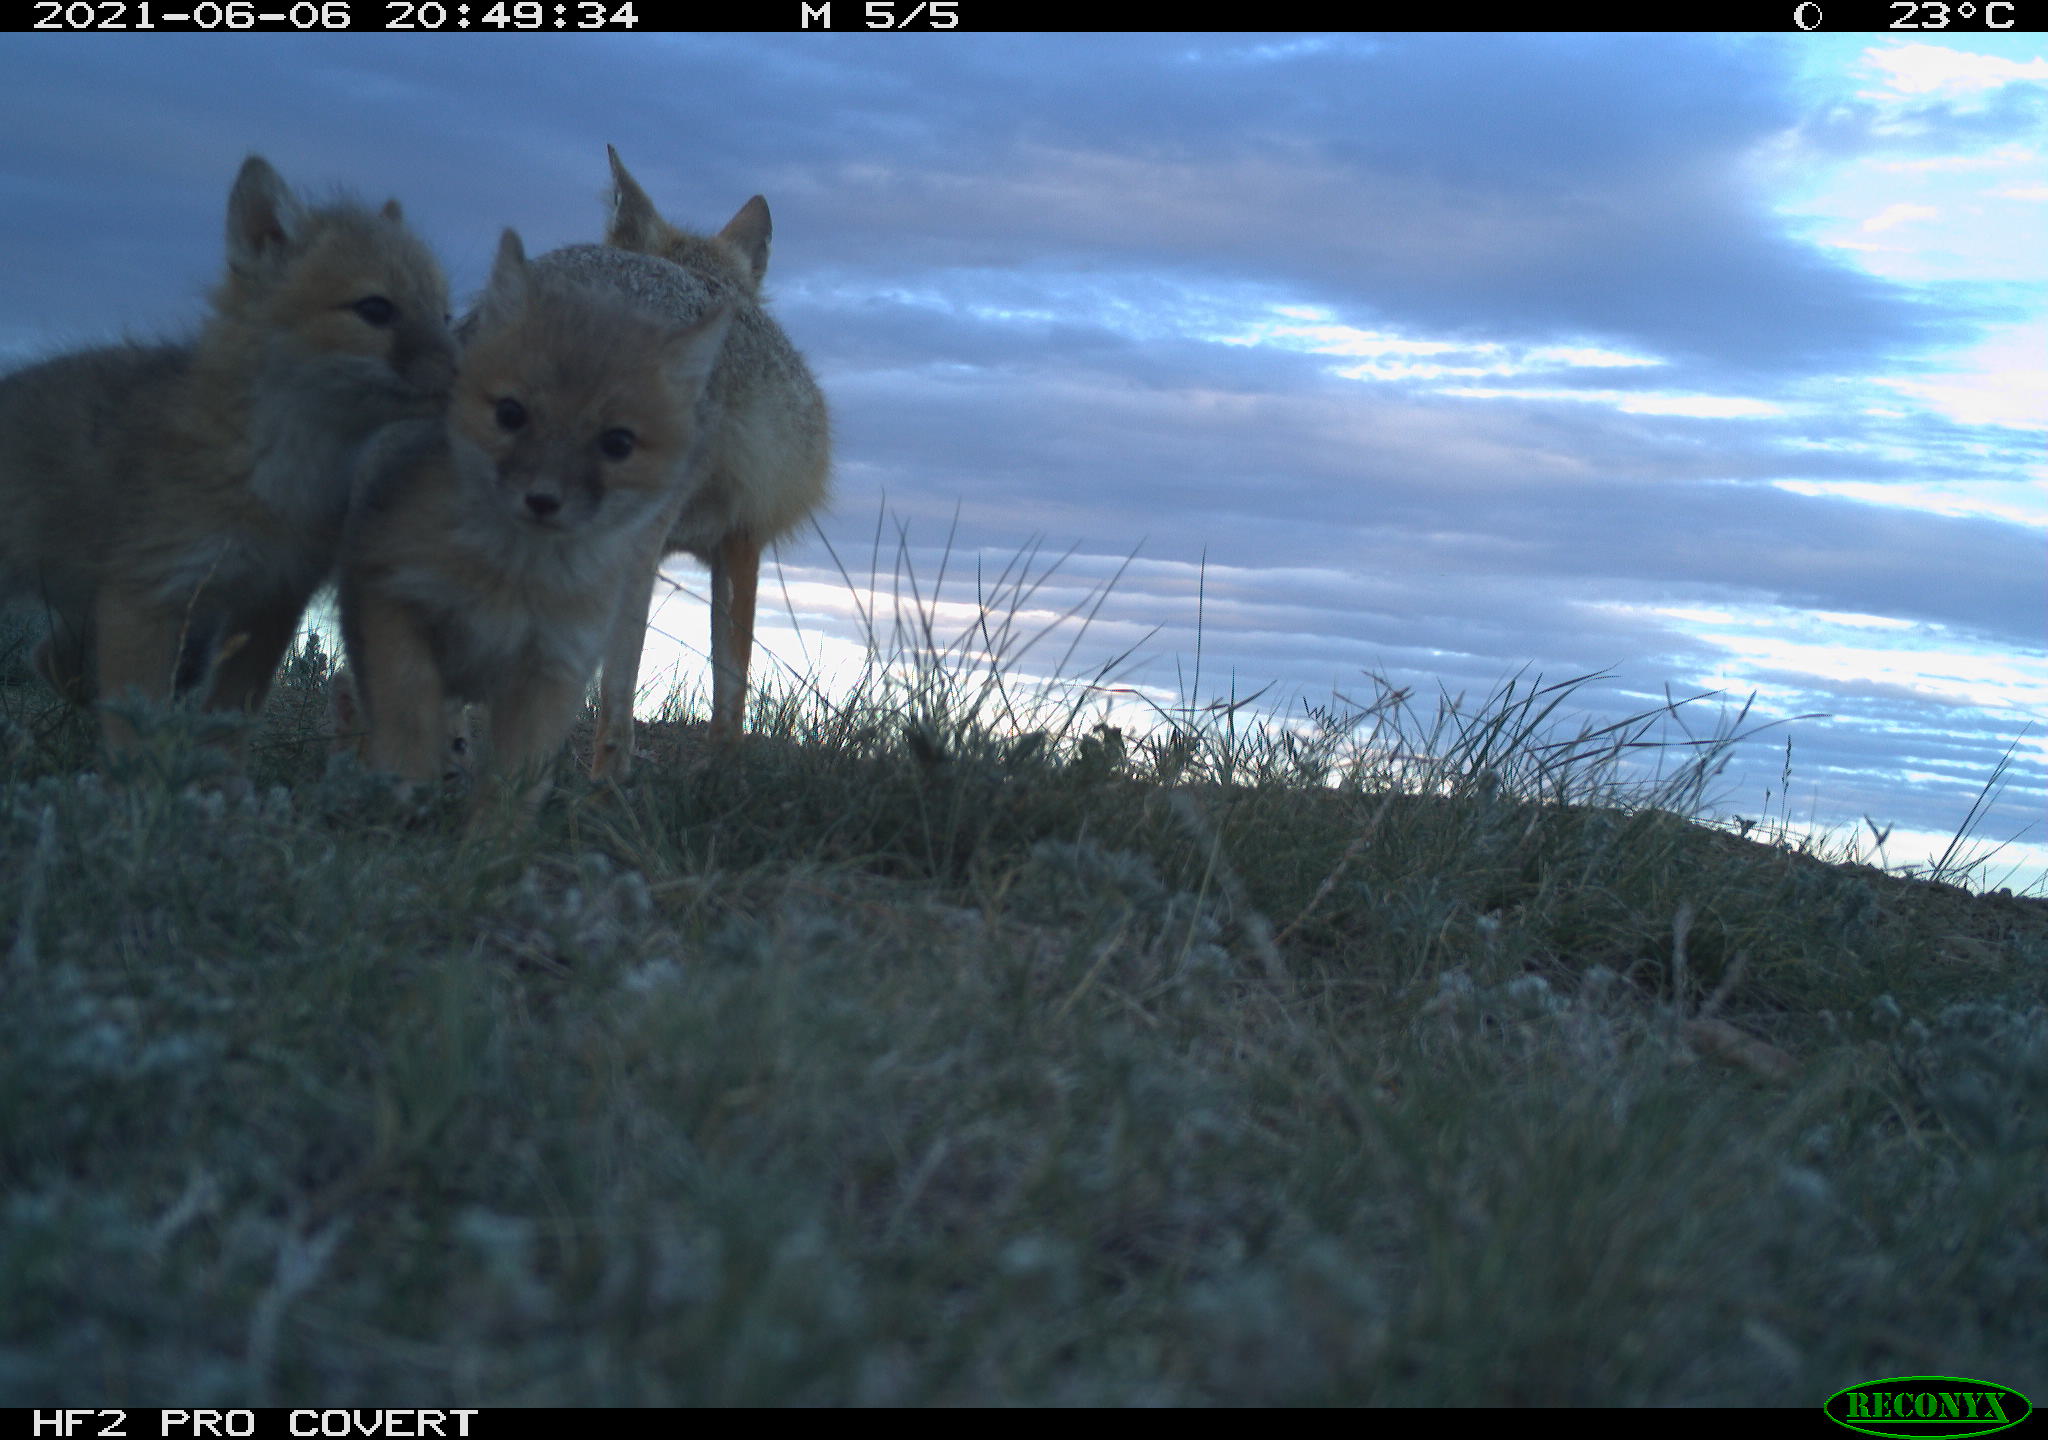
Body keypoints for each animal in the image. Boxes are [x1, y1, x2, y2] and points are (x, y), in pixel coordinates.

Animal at [0, 153, 450, 749]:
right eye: (375, 309)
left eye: (445, 314)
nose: (467, 371)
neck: (279, 479)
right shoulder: (145, 595)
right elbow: (133, 737)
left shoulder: (270, 603)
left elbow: (228, 729)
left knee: (50, 660)